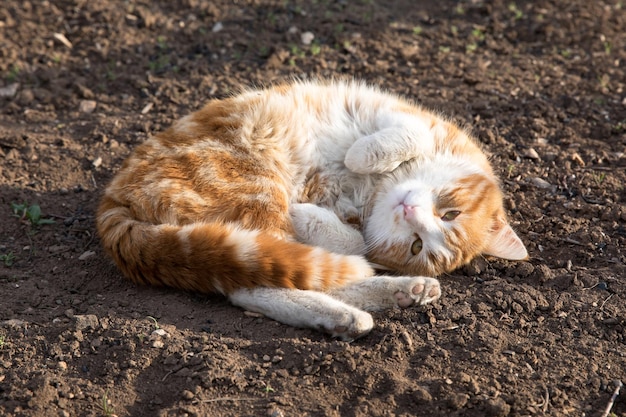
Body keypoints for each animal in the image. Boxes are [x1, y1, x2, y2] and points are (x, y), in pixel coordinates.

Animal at [96, 79, 528, 340]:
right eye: (449, 213)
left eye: (416, 246)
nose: (408, 211)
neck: (375, 191)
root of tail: (113, 202)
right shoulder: (404, 118)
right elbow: (407, 137)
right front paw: (360, 156)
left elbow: (356, 244)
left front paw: (314, 214)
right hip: (257, 184)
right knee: (261, 283)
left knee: (272, 281)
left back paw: (391, 297)